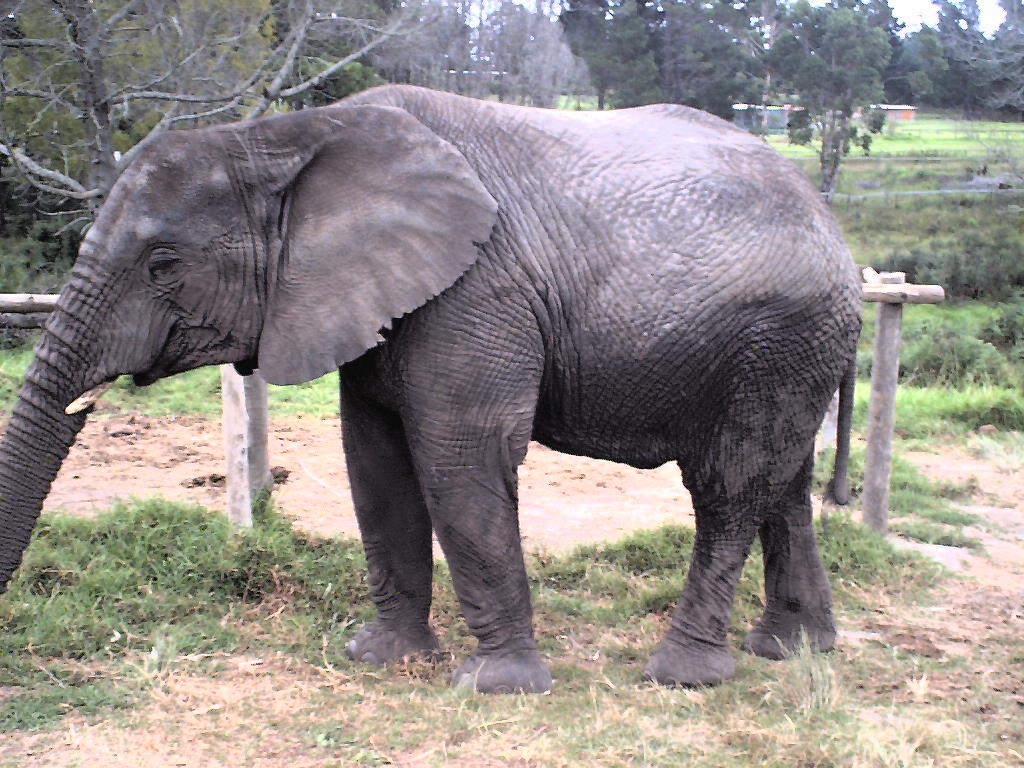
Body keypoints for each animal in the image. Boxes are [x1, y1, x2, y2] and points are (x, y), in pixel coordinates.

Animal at [0, 85, 864, 696]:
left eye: (164, 265)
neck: (287, 135)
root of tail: (840, 233)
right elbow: (374, 462)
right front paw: (380, 658)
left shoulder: (474, 291)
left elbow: (460, 459)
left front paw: (495, 688)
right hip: (791, 348)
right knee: (783, 486)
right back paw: (793, 651)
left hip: (777, 334)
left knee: (729, 485)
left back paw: (682, 676)